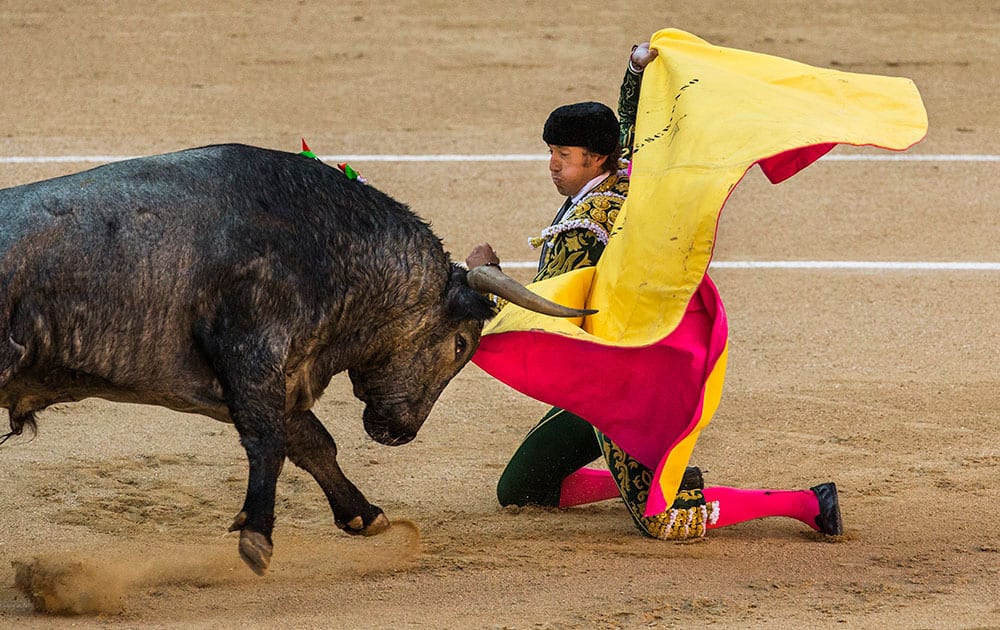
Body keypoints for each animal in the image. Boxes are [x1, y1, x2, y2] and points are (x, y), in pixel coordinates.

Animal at [0, 144, 592, 576]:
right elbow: (271, 443)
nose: (400, 432)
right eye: (462, 345)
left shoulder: (256, 381)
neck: (334, 243)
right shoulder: (252, 355)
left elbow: (310, 441)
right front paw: (257, 538)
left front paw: (364, 516)